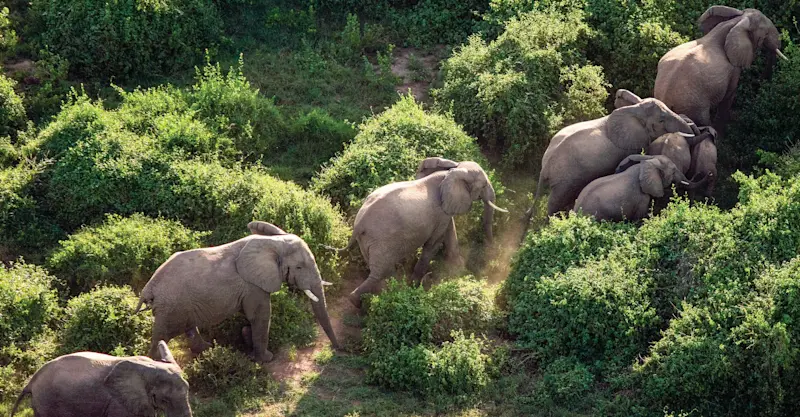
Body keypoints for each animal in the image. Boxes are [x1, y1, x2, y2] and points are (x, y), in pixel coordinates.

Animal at [135, 221, 339, 363]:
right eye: (299, 267)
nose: (338, 349)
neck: (273, 242)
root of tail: (149, 288)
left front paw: (246, 337)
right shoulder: (253, 286)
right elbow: (261, 315)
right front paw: (265, 359)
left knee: (188, 328)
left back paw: (207, 349)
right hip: (171, 308)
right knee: (161, 337)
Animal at [327, 159, 506, 308]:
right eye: (484, 185)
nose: (493, 250)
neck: (453, 171)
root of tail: (359, 223)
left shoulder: (444, 210)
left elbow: (449, 232)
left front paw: (458, 269)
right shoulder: (440, 212)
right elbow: (433, 243)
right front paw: (415, 284)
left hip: (366, 241)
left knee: (379, 269)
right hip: (380, 240)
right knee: (380, 271)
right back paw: (373, 298)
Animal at [525, 89, 696, 225]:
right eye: (661, 120)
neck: (634, 109)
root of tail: (545, 167)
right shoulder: (629, 145)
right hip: (564, 180)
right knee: (555, 203)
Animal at [654, 6, 788, 132]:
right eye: (765, 34)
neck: (736, 21)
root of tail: (665, 100)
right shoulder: (733, 69)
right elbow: (729, 95)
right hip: (693, 106)